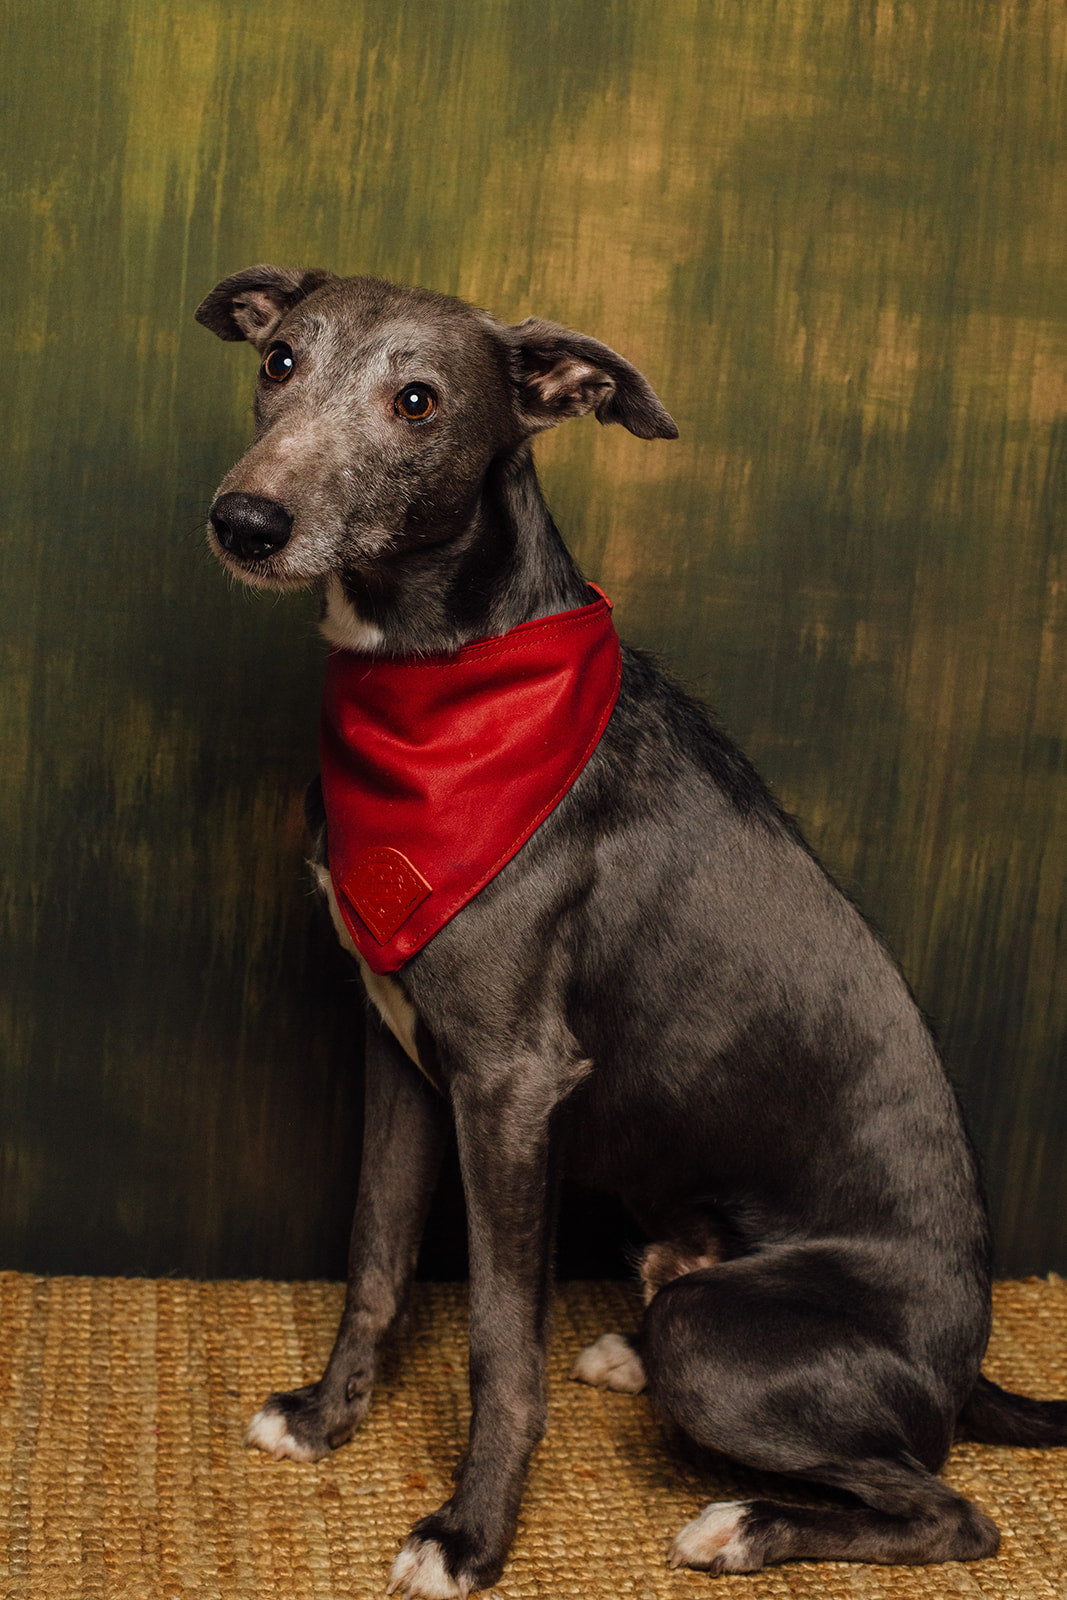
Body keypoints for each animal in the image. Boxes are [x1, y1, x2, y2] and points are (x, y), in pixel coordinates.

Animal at [194, 262, 1067, 1600]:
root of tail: (964, 1366)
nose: (244, 521)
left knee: (951, 1510)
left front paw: (469, 1536)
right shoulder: (401, 1051)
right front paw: (325, 1417)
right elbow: (375, 1261)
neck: (438, 680)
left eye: (417, 400)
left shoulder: (511, 1086)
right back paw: (629, 1355)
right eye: (278, 360)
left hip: (727, 1337)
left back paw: (743, 1522)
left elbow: (500, 1341)